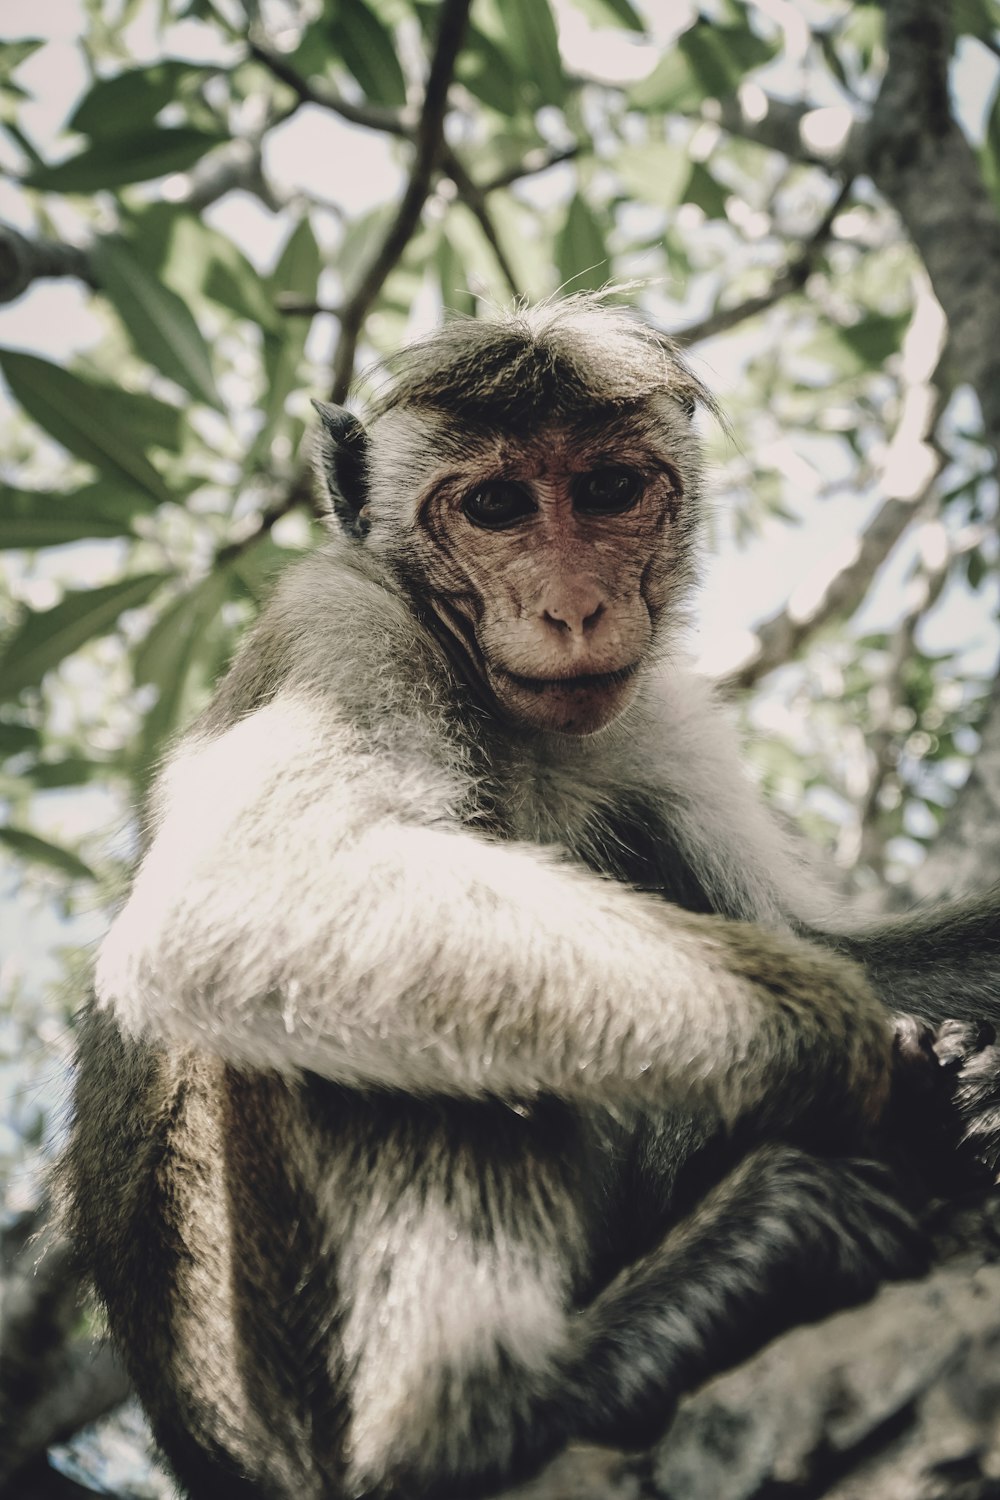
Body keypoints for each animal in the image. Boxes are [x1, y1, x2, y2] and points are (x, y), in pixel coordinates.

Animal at [64, 295, 1000, 1500]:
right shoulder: (336, 624)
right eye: (497, 507)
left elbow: (808, 940)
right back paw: (499, 1400)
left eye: (607, 490)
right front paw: (860, 1059)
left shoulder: (654, 711)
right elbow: (253, 885)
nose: (576, 609)